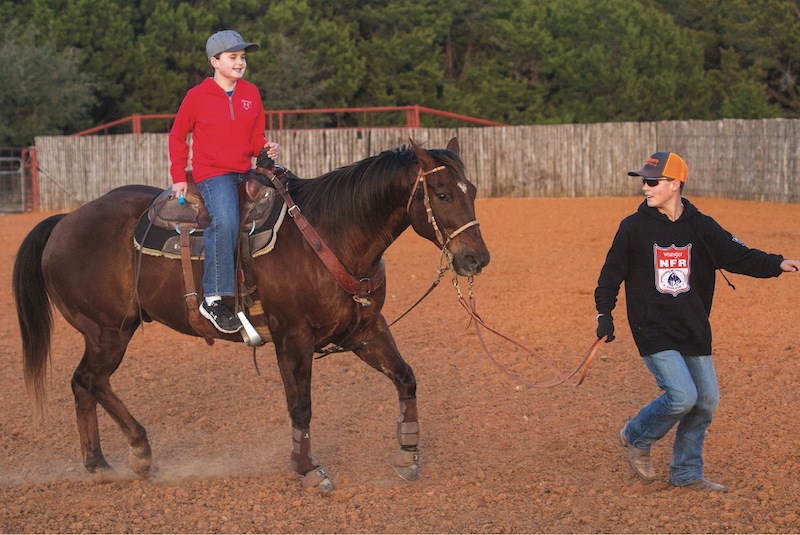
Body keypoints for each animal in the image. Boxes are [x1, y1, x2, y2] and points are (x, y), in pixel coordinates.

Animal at [12, 138, 490, 490]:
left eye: (472, 192)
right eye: (442, 194)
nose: (477, 258)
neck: (332, 234)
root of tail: (65, 221)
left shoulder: (365, 330)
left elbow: (405, 377)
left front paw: (407, 456)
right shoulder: (292, 337)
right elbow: (301, 406)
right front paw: (307, 468)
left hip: (106, 332)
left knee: (84, 385)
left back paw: (99, 463)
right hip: (108, 330)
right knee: (90, 381)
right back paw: (137, 452)